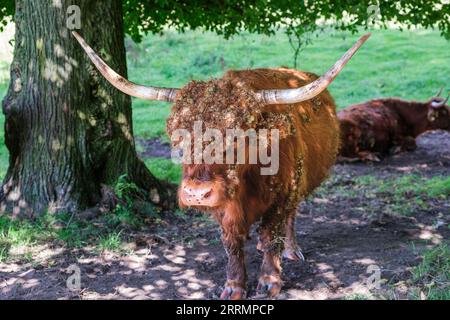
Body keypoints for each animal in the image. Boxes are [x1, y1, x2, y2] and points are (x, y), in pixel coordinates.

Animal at [73, 31, 370, 298]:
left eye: (239, 136)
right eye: (177, 136)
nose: (196, 193)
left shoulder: (281, 195)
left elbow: (272, 234)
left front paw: (270, 282)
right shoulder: (223, 209)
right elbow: (231, 243)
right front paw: (234, 286)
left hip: (299, 182)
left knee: (290, 216)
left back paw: (291, 249)